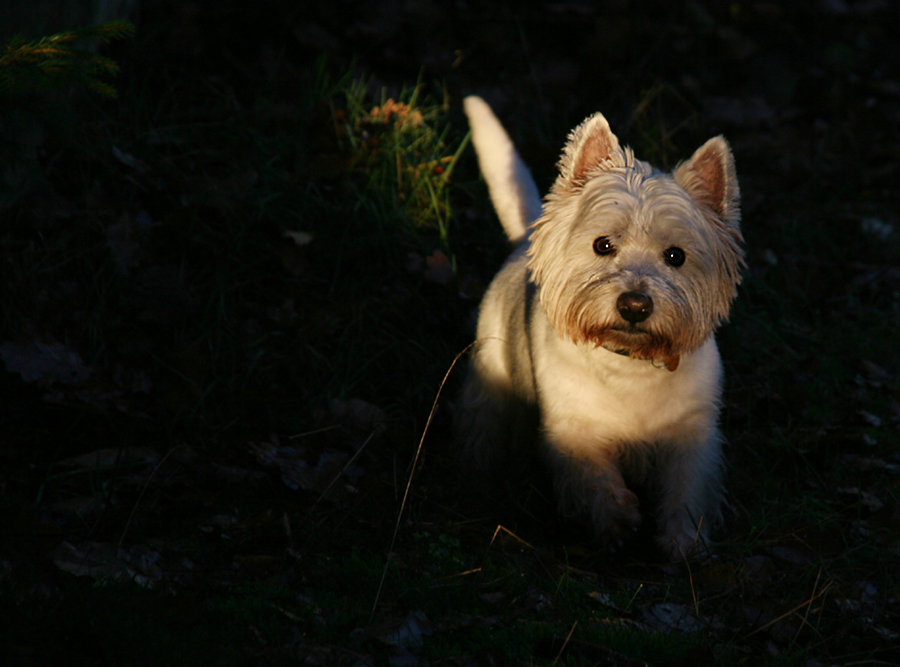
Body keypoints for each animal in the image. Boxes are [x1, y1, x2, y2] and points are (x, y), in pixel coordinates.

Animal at [458, 96, 744, 560]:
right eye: (602, 245)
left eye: (676, 256)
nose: (635, 305)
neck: (630, 365)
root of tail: (524, 240)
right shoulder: (572, 427)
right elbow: (594, 476)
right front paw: (618, 521)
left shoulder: (692, 431)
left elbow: (685, 488)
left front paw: (683, 543)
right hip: (491, 370)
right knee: (482, 424)